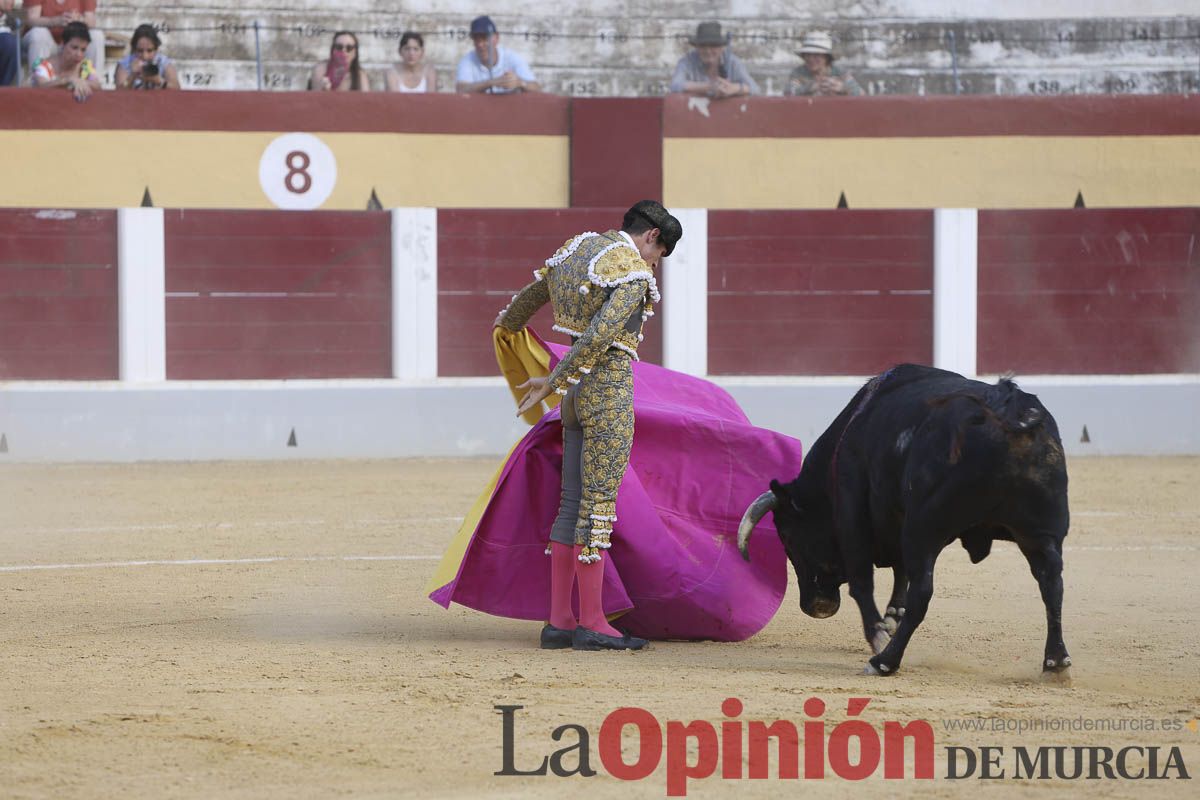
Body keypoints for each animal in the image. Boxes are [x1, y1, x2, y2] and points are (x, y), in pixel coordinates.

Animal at [739, 367, 1070, 676]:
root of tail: (1008, 414)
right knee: (1051, 582)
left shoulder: (851, 511)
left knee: (922, 592)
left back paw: (885, 661)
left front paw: (879, 635)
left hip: (924, 530)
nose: (815, 607)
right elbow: (899, 573)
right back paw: (1055, 662)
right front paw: (890, 619)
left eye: (787, 537)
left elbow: (863, 582)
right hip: (1041, 532)